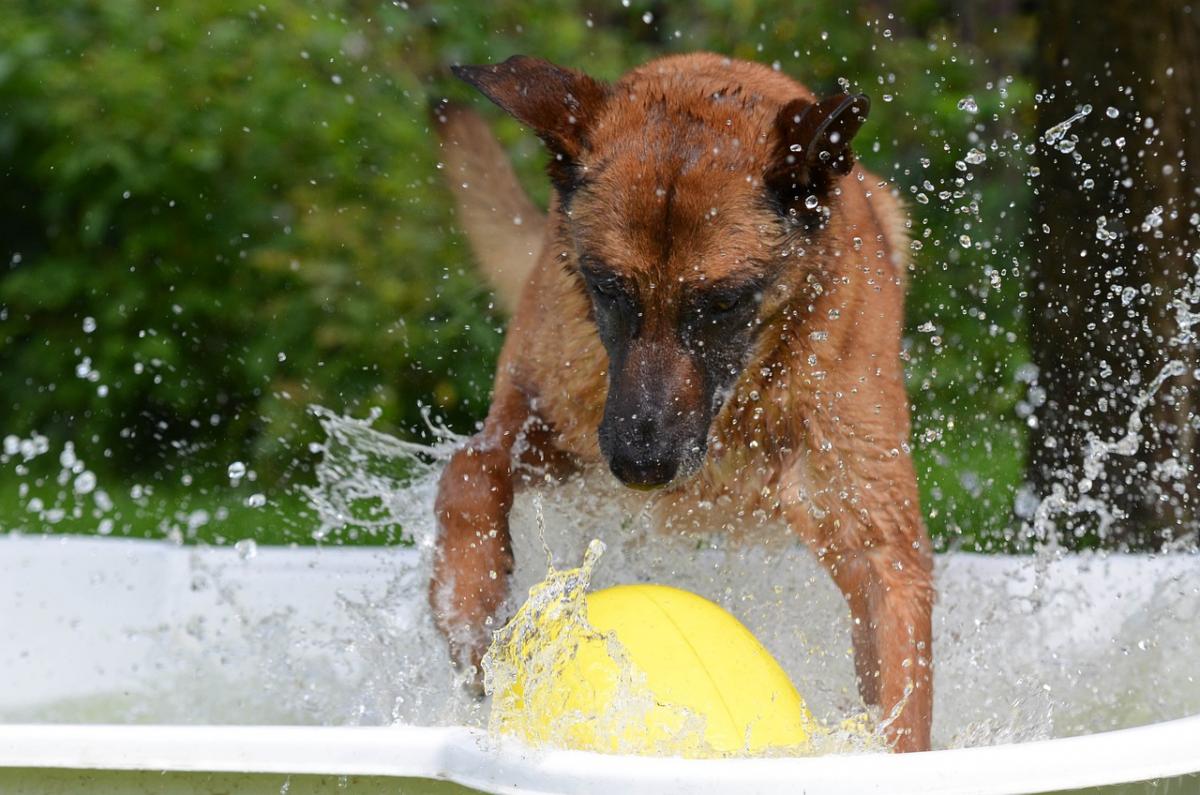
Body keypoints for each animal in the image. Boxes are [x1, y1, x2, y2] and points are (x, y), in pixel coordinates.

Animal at [427, 51, 931, 754]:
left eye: (722, 303)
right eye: (609, 289)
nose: (642, 467)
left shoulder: (878, 541)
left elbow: (900, 686)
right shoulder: (548, 423)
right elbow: (470, 471)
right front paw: (469, 606)